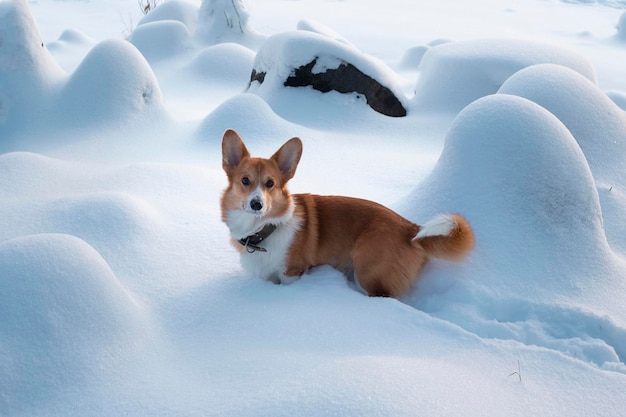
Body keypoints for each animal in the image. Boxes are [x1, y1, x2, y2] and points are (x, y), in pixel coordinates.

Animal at [219, 130, 472, 296]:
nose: (257, 204)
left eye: (270, 183)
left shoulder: (291, 273)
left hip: (368, 272)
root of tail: (411, 229)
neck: (264, 230)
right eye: (245, 181)